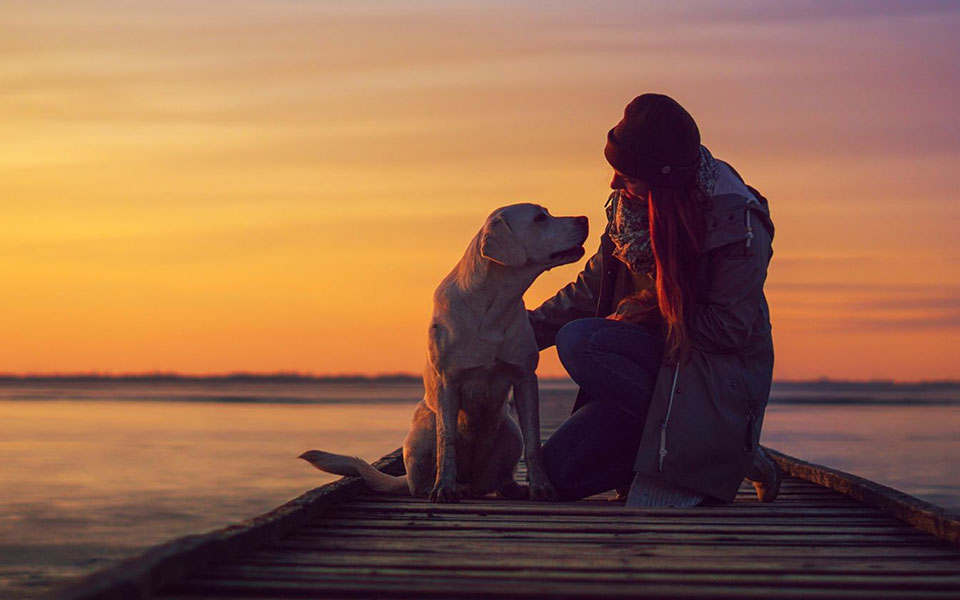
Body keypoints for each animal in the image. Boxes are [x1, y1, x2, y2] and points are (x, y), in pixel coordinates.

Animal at [302, 204, 584, 504]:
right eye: (540, 218)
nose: (584, 219)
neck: (492, 305)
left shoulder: (525, 378)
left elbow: (534, 442)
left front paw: (541, 487)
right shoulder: (448, 382)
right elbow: (446, 443)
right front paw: (445, 488)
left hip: (510, 431)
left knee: (501, 480)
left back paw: (508, 488)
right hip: (421, 434)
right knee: (419, 482)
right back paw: (447, 487)